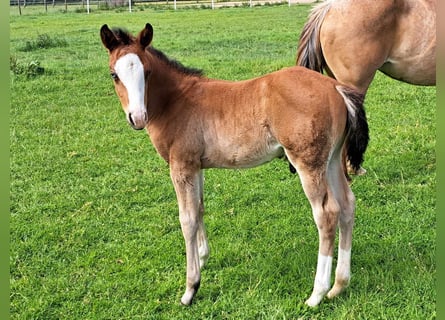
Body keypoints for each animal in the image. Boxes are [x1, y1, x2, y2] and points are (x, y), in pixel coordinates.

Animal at [99, 23, 368, 308]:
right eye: (114, 74)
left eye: (147, 72)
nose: (138, 117)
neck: (176, 101)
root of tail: (336, 87)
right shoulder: (196, 166)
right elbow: (200, 208)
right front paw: (203, 257)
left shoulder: (181, 165)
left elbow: (187, 219)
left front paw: (190, 288)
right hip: (332, 160)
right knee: (347, 205)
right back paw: (339, 285)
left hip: (309, 163)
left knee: (326, 214)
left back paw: (317, 294)